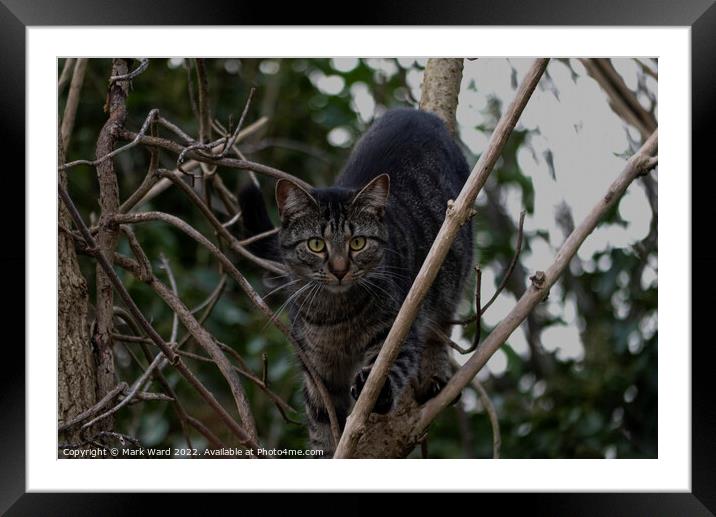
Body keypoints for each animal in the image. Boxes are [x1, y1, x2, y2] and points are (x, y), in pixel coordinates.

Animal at [241, 107, 476, 454]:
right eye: (316, 244)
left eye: (358, 243)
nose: (339, 268)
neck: (335, 314)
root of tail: (416, 112)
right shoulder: (316, 370)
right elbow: (323, 423)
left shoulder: (397, 328)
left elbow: (390, 363)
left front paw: (378, 390)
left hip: (449, 277)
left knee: (439, 327)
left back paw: (433, 378)